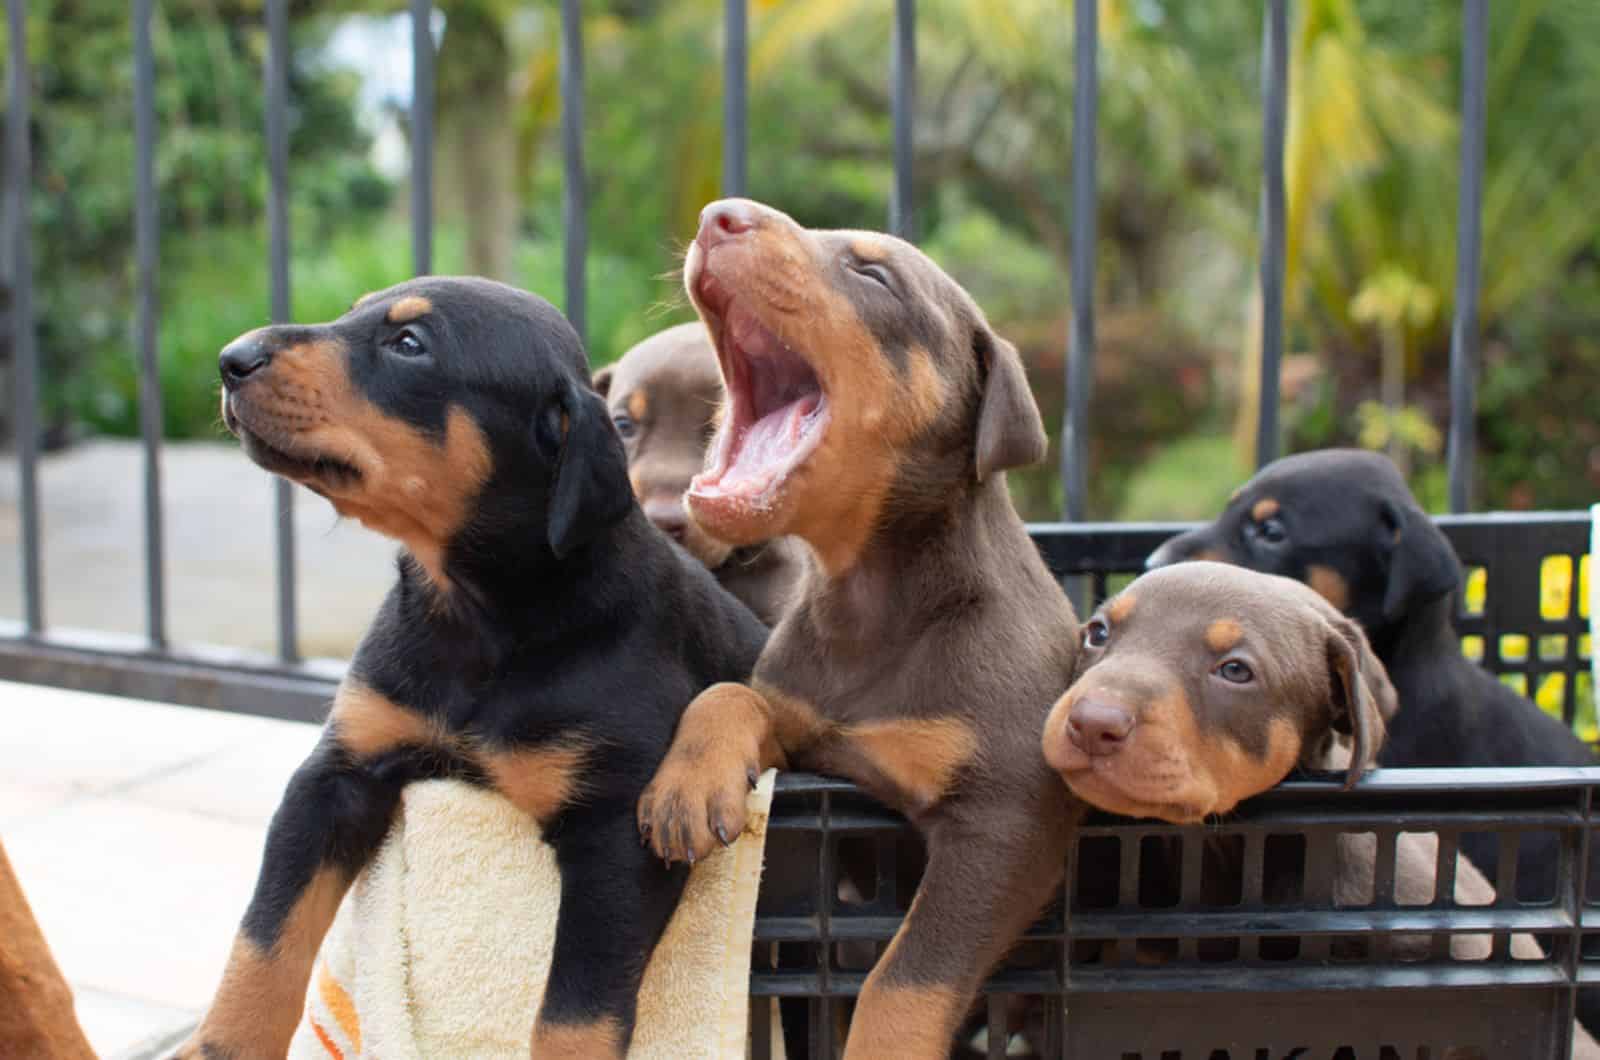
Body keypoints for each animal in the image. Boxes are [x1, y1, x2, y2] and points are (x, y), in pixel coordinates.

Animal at [178, 278, 764, 1056]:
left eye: (409, 344)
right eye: (353, 312)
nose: (231, 359)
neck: (479, 614)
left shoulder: (613, 827)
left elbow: (576, 1010)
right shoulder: (337, 774)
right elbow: (265, 937)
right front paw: (222, 1044)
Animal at [630, 201, 1081, 1060]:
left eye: (873, 273)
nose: (719, 216)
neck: (869, 602)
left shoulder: (1005, 821)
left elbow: (905, 977)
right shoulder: (805, 725)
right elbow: (731, 694)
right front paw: (689, 781)